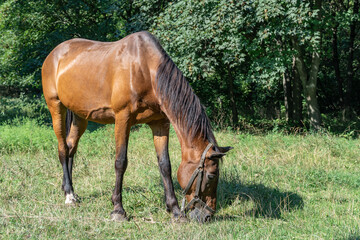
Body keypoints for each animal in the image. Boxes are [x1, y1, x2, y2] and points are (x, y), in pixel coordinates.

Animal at [40, 31, 232, 223]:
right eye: (211, 175)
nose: (207, 216)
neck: (145, 70)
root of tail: (54, 54)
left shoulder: (160, 124)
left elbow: (165, 165)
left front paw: (175, 210)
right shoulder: (122, 119)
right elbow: (120, 162)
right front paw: (118, 209)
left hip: (80, 116)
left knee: (71, 147)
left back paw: (70, 190)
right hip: (56, 106)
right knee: (63, 149)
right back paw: (69, 196)